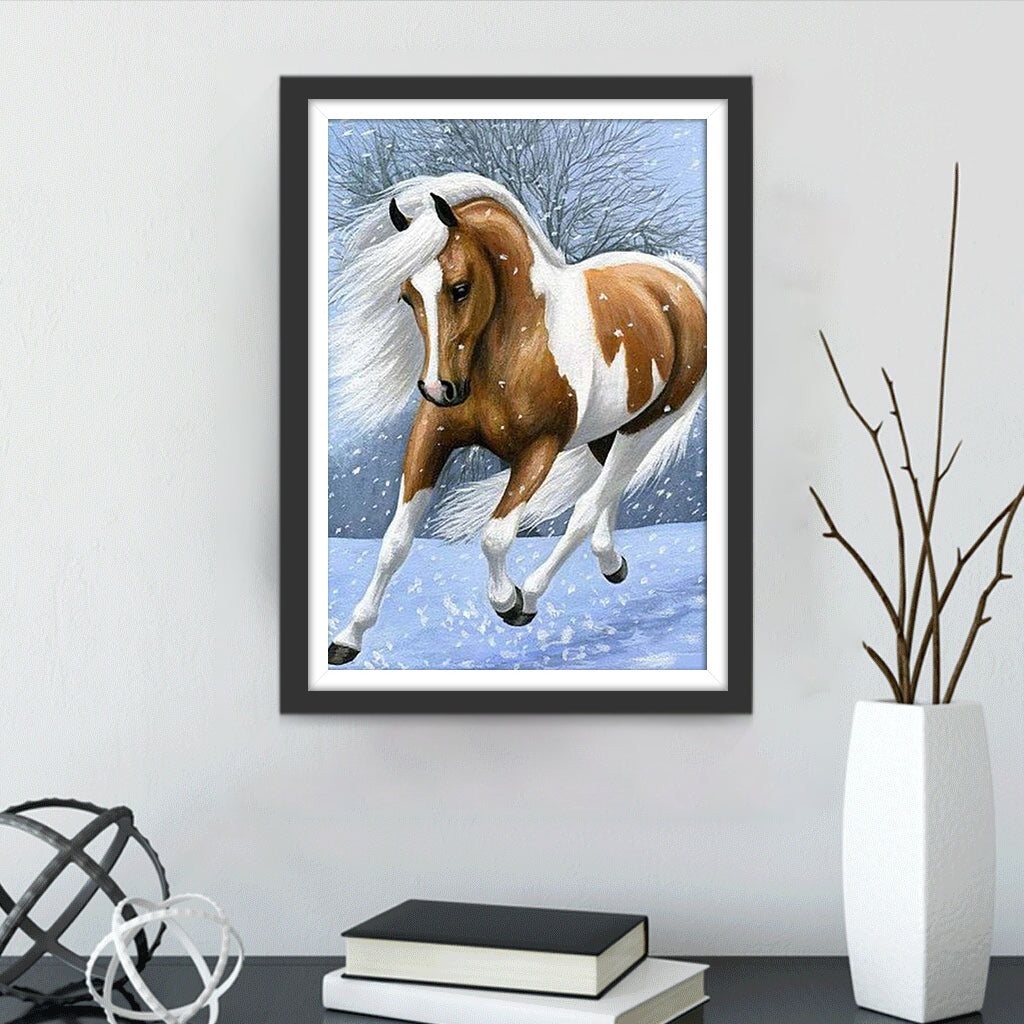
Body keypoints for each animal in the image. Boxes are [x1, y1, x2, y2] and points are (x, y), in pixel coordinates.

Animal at [328, 173, 707, 666]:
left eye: (460, 287)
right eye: (407, 295)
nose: (438, 389)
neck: (516, 346)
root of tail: (680, 278)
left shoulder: (538, 450)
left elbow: (495, 535)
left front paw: (508, 601)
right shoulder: (431, 435)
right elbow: (394, 542)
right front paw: (347, 638)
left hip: (649, 424)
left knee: (587, 507)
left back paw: (534, 592)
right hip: (608, 432)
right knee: (608, 494)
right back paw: (611, 563)